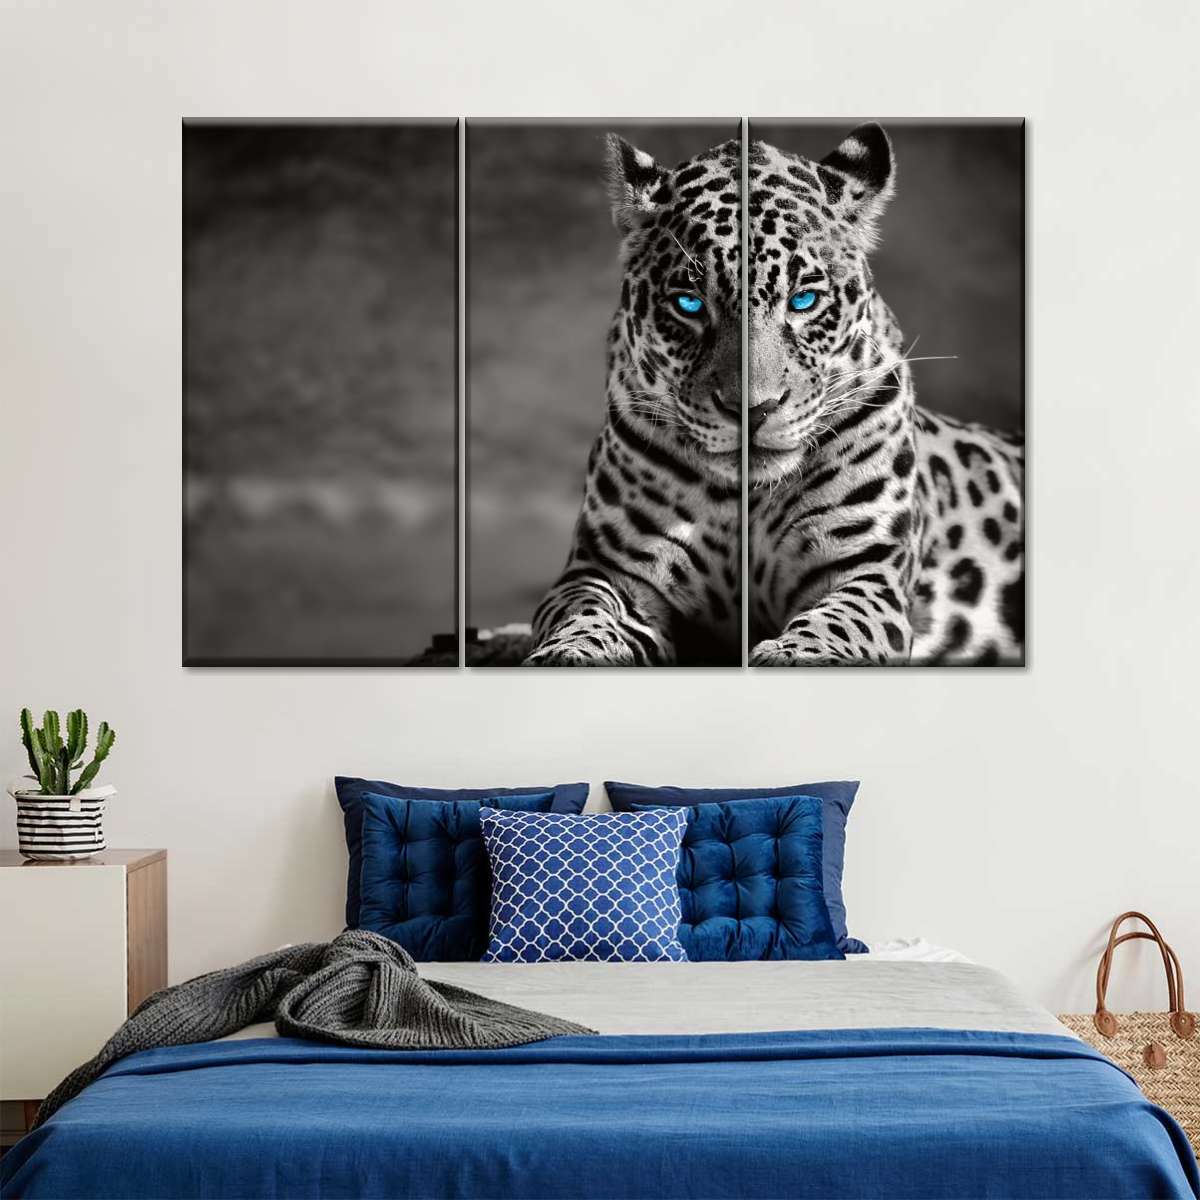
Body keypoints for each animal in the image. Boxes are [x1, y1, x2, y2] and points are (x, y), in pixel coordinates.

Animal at [524, 124, 1024, 667]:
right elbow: (584, 613)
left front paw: (795, 654)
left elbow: (836, 624)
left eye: (803, 300)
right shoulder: (608, 568)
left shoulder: (866, 570)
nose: (752, 409)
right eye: (689, 304)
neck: (747, 499)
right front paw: (570, 653)